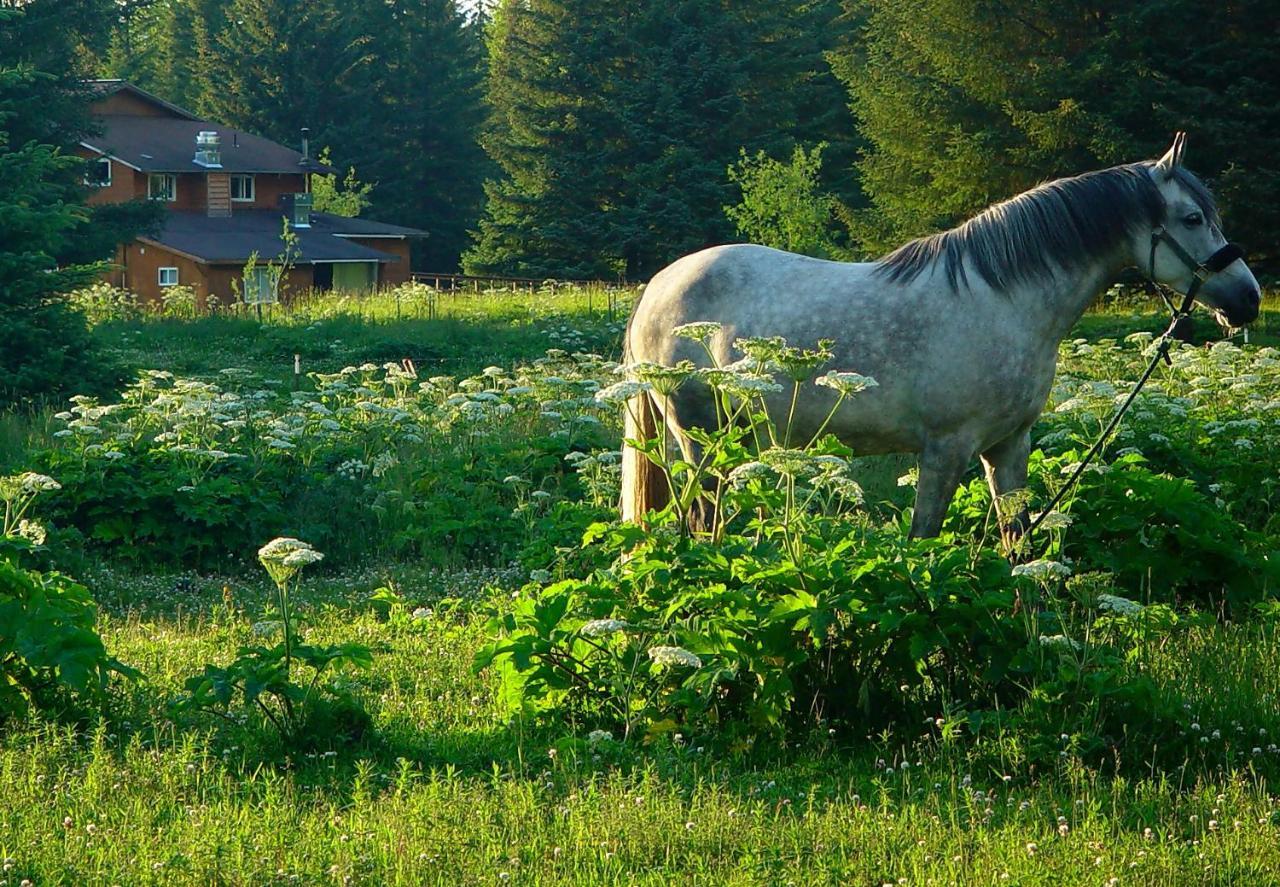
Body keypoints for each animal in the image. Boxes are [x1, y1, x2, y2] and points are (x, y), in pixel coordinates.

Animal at [619, 133, 1259, 535]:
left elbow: (1016, 543)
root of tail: (658, 288)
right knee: (702, 519)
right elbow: (923, 540)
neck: (1004, 300)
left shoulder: (1009, 447)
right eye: (1193, 218)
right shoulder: (946, 450)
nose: (1248, 300)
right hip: (699, 439)